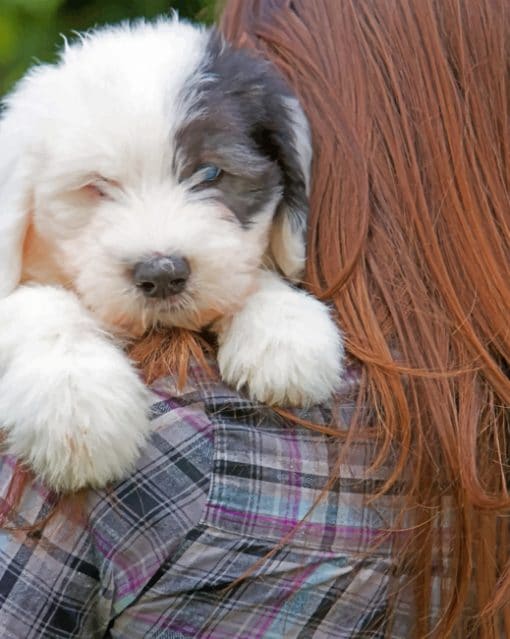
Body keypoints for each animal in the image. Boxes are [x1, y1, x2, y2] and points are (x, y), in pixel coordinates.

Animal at [0, 17, 342, 492]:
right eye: (96, 186)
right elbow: (43, 307)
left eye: (211, 172)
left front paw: (284, 329)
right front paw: (77, 404)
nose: (162, 274)